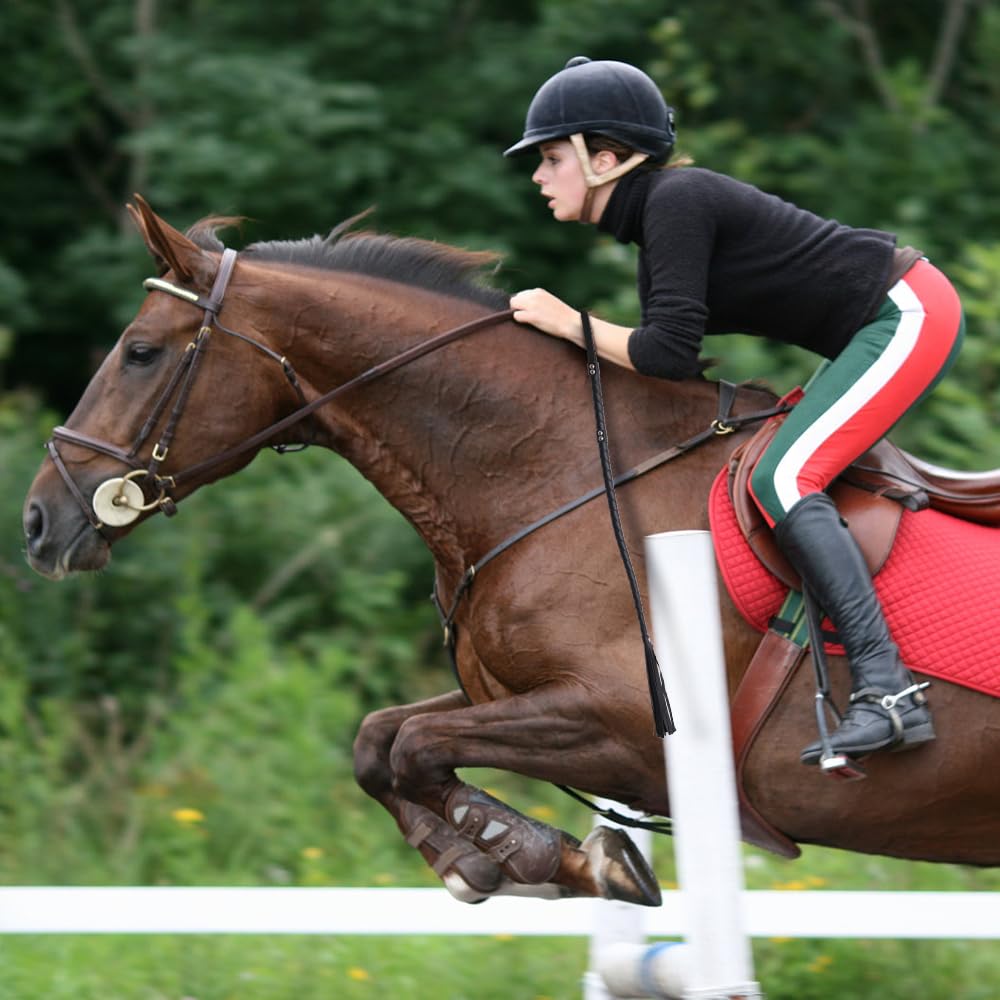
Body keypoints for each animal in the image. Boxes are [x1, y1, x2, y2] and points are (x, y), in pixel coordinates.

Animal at [22, 198, 1000, 908]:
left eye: (141, 352)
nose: (39, 521)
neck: (555, 467)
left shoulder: (624, 727)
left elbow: (415, 745)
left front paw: (532, 854)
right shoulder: (515, 694)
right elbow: (380, 740)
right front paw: (501, 858)